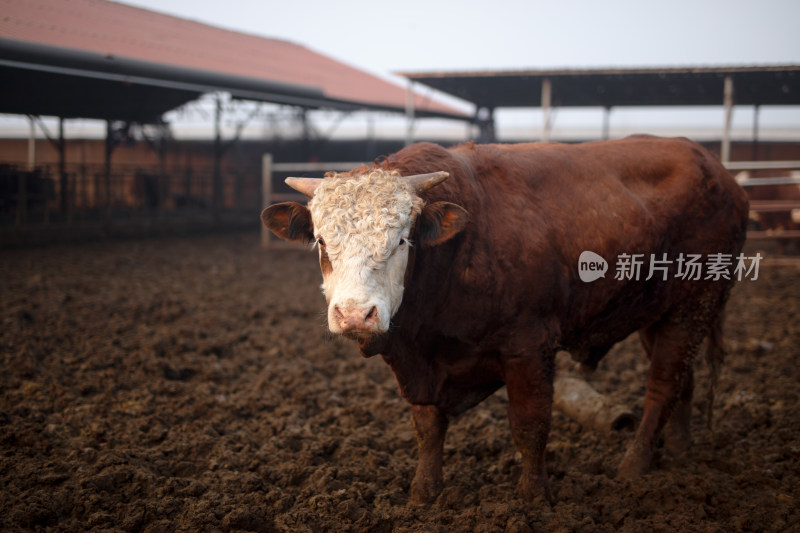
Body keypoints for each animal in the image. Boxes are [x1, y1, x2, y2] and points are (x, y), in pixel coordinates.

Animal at [262, 136, 752, 502]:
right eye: (321, 241)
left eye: (402, 240)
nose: (354, 315)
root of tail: (718, 170)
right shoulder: (420, 360)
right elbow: (427, 428)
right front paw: (424, 494)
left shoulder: (529, 347)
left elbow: (530, 423)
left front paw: (534, 498)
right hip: (659, 310)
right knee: (684, 379)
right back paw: (681, 450)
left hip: (695, 302)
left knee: (663, 384)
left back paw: (634, 465)